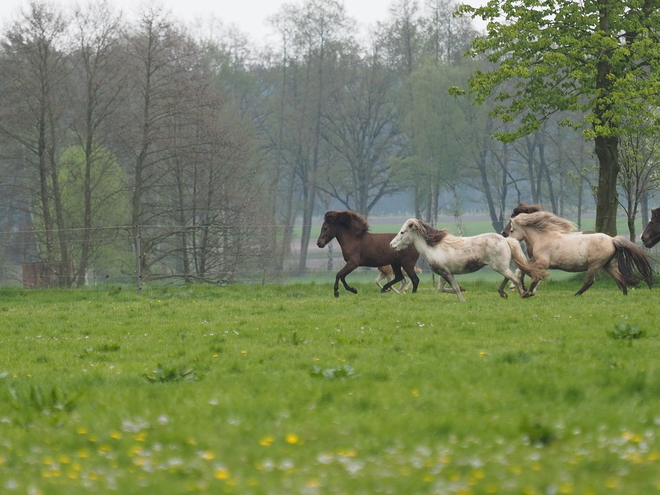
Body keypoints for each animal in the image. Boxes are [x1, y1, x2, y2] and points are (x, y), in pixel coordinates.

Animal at [386, 218, 548, 302]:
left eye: (402, 232)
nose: (391, 245)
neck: (434, 248)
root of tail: (505, 240)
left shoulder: (446, 272)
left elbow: (454, 287)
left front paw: (462, 300)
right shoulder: (444, 273)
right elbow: (442, 288)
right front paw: (463, 290)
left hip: (499, 267)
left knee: (514, 278)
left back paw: (524, 294)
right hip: (500, 267)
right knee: (509, 278)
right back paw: (503, 293)